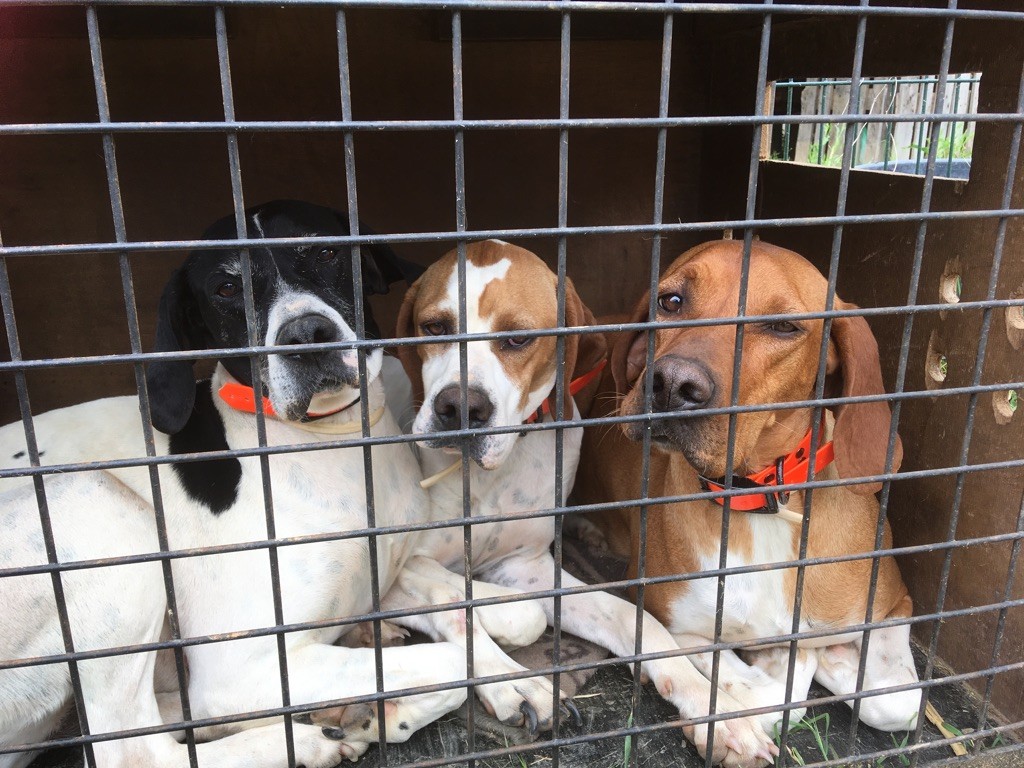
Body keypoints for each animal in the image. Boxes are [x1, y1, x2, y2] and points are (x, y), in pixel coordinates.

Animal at [0, 202, 464, 768]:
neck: (332, 441)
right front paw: (382, 714)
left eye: (328, 251)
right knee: (136, 750)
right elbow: (456, 664)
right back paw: (304, 739)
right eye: (225, 289)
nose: (307, 336)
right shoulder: (240, 665)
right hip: (99, 509)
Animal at [389, 241, 774, 768]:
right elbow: (455, 603)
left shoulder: (525, 569)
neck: (487, 481)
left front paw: (717, 713)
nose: (460, 409)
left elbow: (632, 618)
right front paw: (515, 684)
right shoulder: (395, 570)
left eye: (518, 339)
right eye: (434, 327)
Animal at [577, 240, 921, 757]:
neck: (758, 501)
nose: (671, 383)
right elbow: (765, 688)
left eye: (783, 326)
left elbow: (896, 701)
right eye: (671, 301)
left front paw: (826, 657)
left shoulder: (895, 604)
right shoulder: (670, 620)